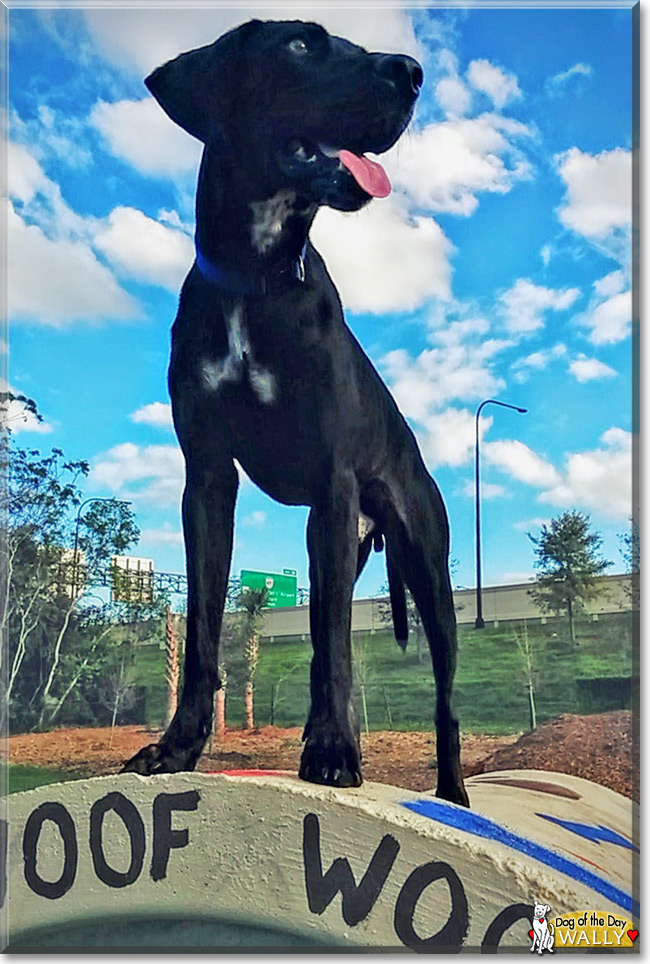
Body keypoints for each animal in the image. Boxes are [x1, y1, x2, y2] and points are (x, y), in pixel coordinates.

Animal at [121, 20, 466, 804]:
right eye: (303, 45)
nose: (413, 71)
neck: (257, 278)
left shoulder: (332, 487)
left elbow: (331, 643)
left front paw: (334, 750)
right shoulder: (207, 480)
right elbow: (204, 628)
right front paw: (177, 746)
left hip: (428, 572)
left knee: (443, 699)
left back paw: (455, 794)